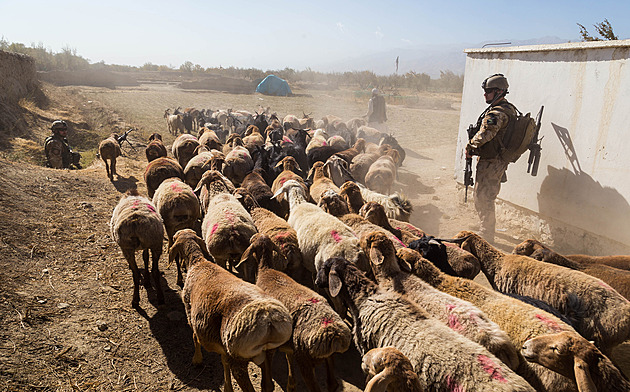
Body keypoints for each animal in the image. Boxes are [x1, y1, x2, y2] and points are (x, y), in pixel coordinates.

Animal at [170, 228, 294, 392]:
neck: (197, 262)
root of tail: (269, 320)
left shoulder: (189, 312)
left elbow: (195, 338)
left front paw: (197, 359)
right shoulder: (221, 344)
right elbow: (224, 360)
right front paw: (227, 386)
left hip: (239, 359)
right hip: (268, 352)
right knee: (267, 385)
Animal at [239, 234, 354, 392]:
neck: (266, 270)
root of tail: (333, 333)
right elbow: (288, 356)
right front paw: (290, 383)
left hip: (305, 358)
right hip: (326, 357)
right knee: (332, 383)